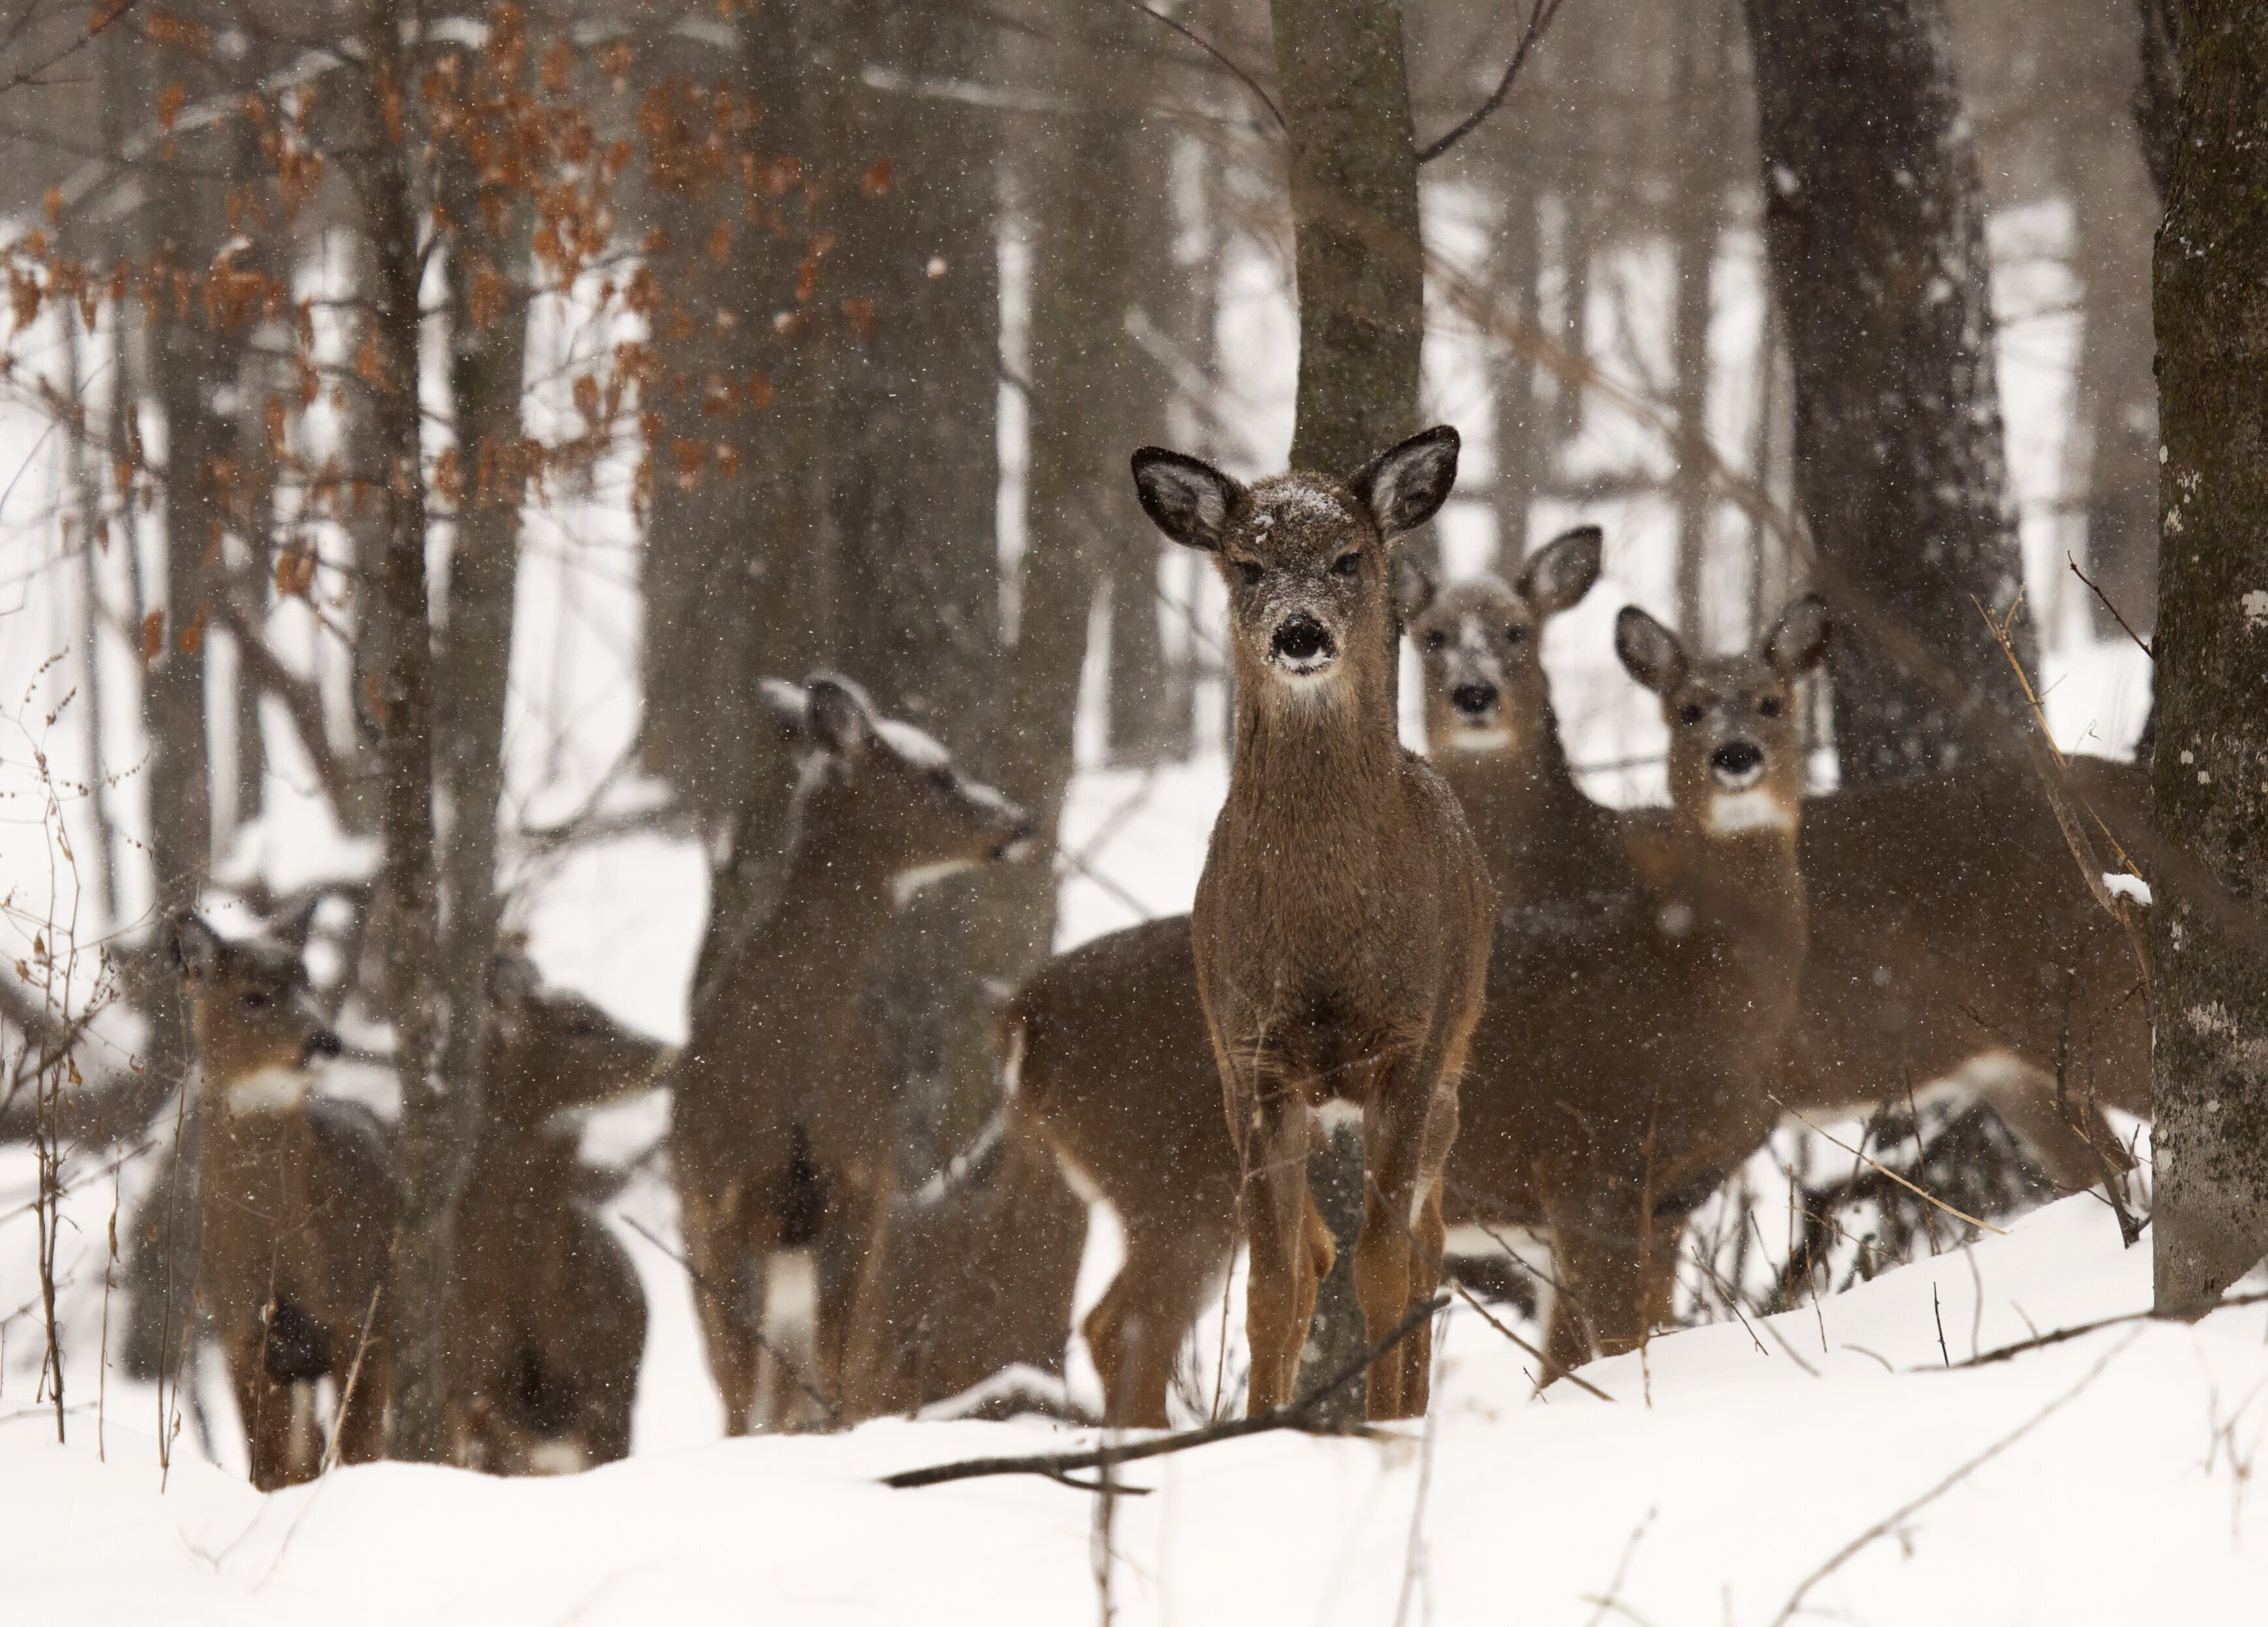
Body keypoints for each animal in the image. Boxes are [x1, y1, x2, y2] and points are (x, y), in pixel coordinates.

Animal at [170, 907, 392, 1488]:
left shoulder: (353, 1312)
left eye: (308, 985)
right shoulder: (241, 1331)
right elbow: (268, 1467)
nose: (326, 1041)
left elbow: (358, 1447)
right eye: (253, 997)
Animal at [662, 667, 1038, 1425]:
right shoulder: (720, 1192)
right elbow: (740, 1395)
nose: (1021, 821)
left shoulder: (865, 1180)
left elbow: (835, 1376)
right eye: (938, 771)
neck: (795, 1047)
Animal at [1125, 424, 1496, 1416]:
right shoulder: (1255, 1055)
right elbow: (1275, 1281)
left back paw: (1411, 1406)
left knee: (1423, 1244)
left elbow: (1384, 1267)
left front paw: (1383, 1425)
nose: (1300, 631)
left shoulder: (1410, 1044)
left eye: (1348, 557)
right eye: (1247, 564)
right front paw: (1261, 1428)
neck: (1325, 926)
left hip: (1454, 1068)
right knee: (1320, 1252)